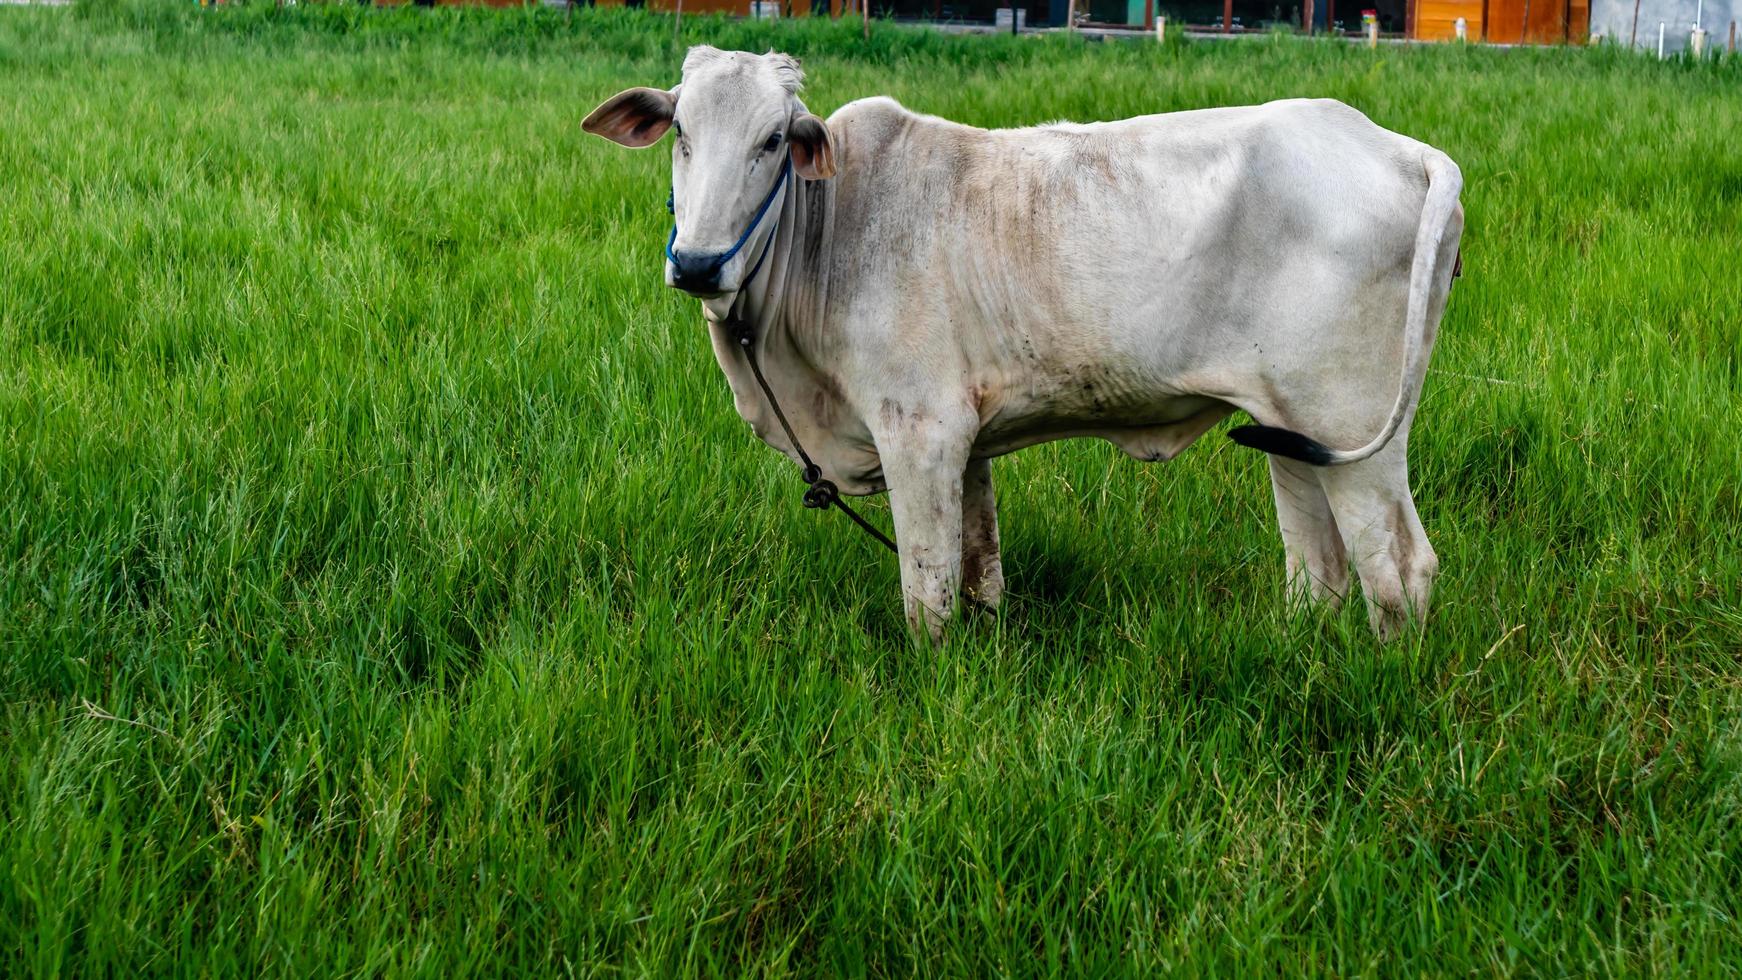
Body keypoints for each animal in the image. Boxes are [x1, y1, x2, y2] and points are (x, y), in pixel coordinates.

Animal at [581, 47, 1456, 644]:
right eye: (681, 132)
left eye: (771, 140)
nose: (697, 264)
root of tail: (1406, 149)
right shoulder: (965, 442)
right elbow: (979, 570)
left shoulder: (920, 431)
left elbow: (927, 595)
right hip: (1287, 426)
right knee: (1319, 570)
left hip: (1353, 426)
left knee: (1399, 572)